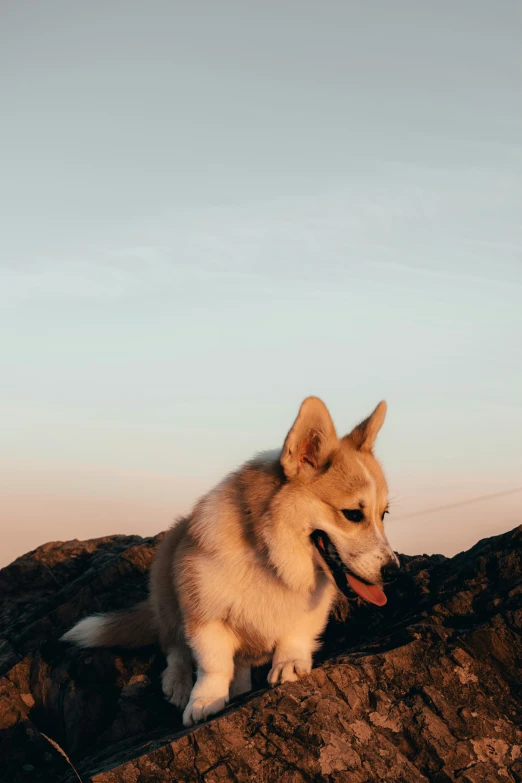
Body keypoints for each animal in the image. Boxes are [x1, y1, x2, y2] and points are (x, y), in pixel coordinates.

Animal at [61, 398, 396, 728]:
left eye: (384, 515)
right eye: (352, 514)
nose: (394, 572)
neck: (273, 556)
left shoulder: (312, 605)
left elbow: (296, 635)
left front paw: (289, 664)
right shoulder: (204, 614)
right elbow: (213, 664)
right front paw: (204, 701)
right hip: (166, 592)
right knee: (175, 646)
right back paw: (178, 683)